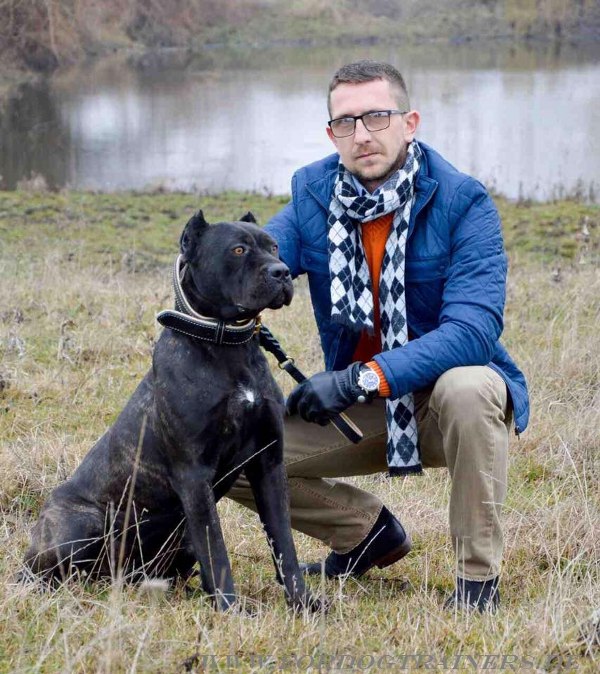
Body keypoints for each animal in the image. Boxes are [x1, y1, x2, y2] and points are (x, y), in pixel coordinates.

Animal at [24, 213, 318, 612]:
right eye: (238, 249)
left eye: (274, 247)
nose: (282, 271)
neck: (227, 344)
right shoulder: (194, 475)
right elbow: (217, 549)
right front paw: (231, 610)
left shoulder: (268, 464)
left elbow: (283, 542)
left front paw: (305, 604)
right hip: (79, 525)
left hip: (176, 544)